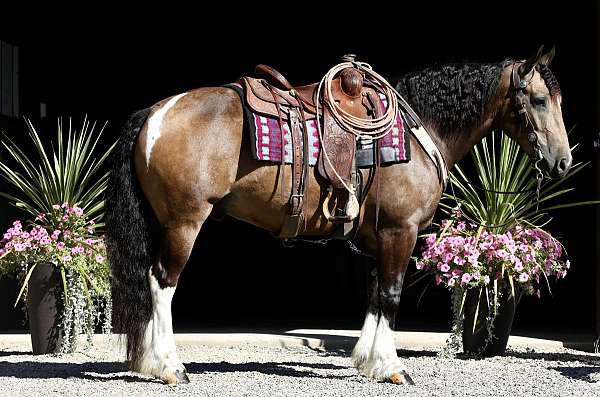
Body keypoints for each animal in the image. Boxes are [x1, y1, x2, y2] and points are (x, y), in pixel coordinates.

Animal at [104, 45, 572, 384]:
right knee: (162, 283)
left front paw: (367, 360)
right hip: (184, 222)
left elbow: (374, 296)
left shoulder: (377, 237)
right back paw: (169, 366)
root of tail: (155, 113)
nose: (563, 162)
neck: (417, 132)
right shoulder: (400, 232)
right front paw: (392, 367)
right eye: (539, 99)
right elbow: (391, 295)